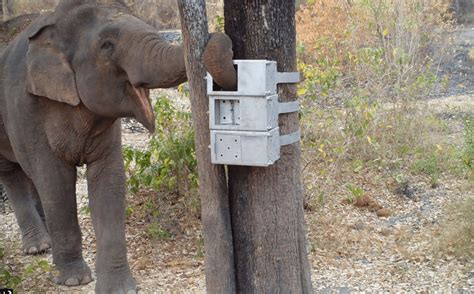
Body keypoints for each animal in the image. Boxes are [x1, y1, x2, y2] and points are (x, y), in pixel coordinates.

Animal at [0, 0, 237, 292]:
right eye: (107, 45)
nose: (213, 35)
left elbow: (109, 180)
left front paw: (119, 288)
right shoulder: (26, 109)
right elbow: (55, 181)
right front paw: (74, 280)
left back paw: (45, 245)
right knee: (13, 174)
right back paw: (38, 247)